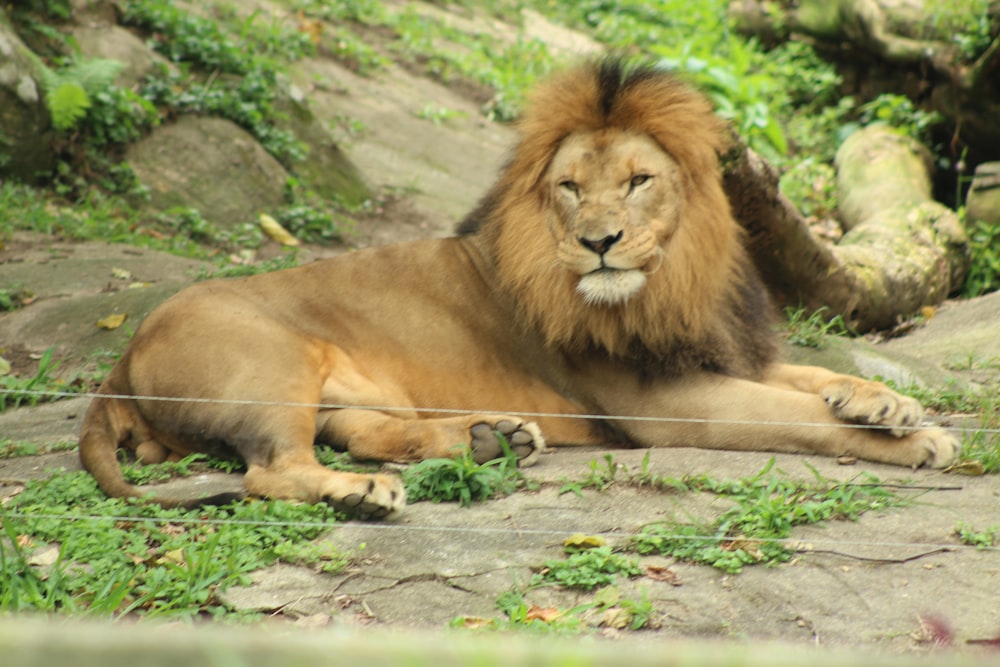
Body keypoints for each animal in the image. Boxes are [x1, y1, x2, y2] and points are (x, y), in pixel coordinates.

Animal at [76, 60, 952, 520]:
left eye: (638, 181)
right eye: (569, 187)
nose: (599, 242)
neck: (674, 277)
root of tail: (121, 357)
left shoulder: (720, 350)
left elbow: (813, 376)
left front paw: (887, 402)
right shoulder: (664, 401)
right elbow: (798, 415)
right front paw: (922, 440)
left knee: (359, 431)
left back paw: (491, 437)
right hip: (271, 362)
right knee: (273, 469)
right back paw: (369, 491)